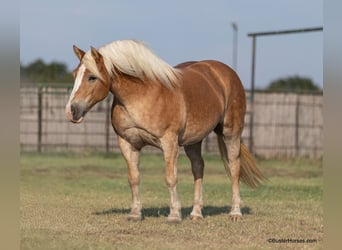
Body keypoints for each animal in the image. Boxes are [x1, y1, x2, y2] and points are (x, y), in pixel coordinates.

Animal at [66, 39, 264, 223]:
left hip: (231, 133)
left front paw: (174, 215)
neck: (141, 94)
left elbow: (171, 178)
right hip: (194, 141)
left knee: (234, 167)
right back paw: (196, 213)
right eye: (75, 74)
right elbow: (134, 178)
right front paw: (135, 213)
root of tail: (224, 72)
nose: (71, 111)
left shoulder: (169, 142)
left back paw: (235, 212)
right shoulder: (128, 143)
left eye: (92, 77)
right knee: (198, 168)